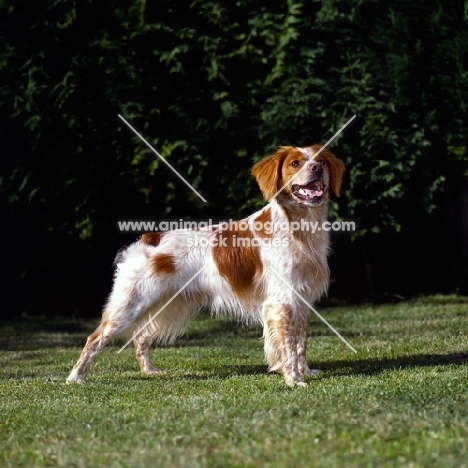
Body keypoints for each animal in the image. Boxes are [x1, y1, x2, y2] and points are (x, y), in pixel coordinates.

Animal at [68, 144, 348, 386]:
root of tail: (147, 238)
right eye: (295, 163)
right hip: (131, 304)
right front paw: (293, 380)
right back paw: (75, 378)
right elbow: (288, 346)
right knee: (95, 338)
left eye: (321, 160)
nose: (317, 168)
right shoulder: (282, 302)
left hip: (166, 304)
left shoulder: (301, 300)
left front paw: (306, 371)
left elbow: (300, 343)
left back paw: (149, 370)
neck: (299, 229)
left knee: (141, 337)